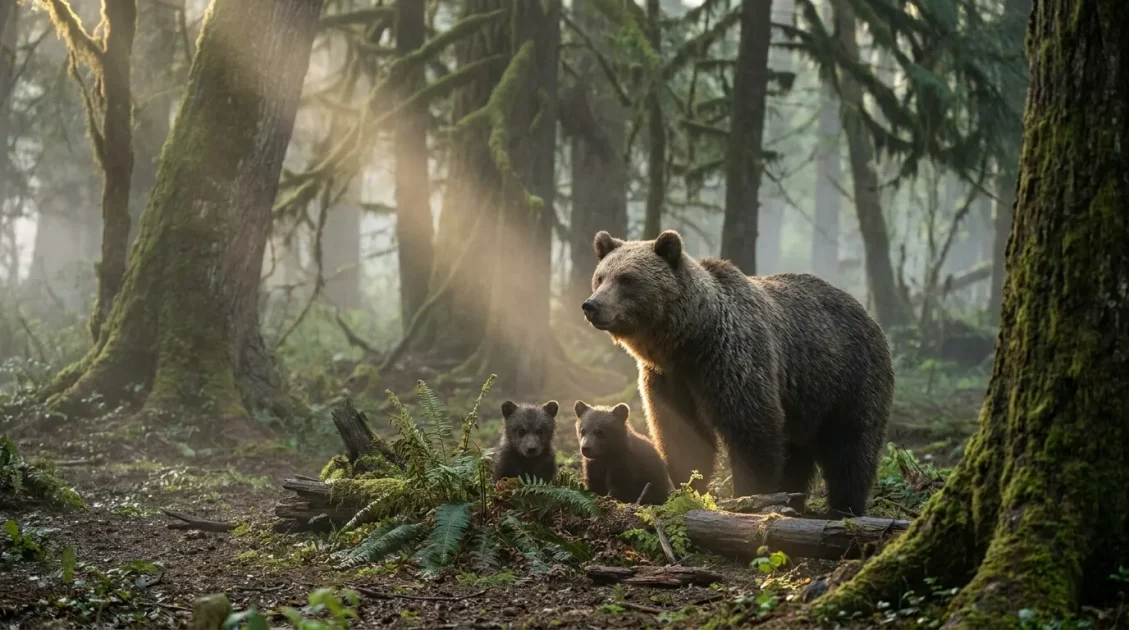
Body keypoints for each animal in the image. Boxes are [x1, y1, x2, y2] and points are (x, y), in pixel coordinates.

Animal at [580, 229, 894, 516]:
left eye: (627, 279)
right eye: (600, 277)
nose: (591, 305)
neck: (689, 340)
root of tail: (867, 315)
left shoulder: (732, 361)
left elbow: (752, 429)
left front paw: (749, 498)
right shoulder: (668, 379)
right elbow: (681, 434)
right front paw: (687, 488)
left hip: (848, 378)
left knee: (851, 448)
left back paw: (844, 507)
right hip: (806, 402)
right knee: (798, 453)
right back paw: (793, 500)